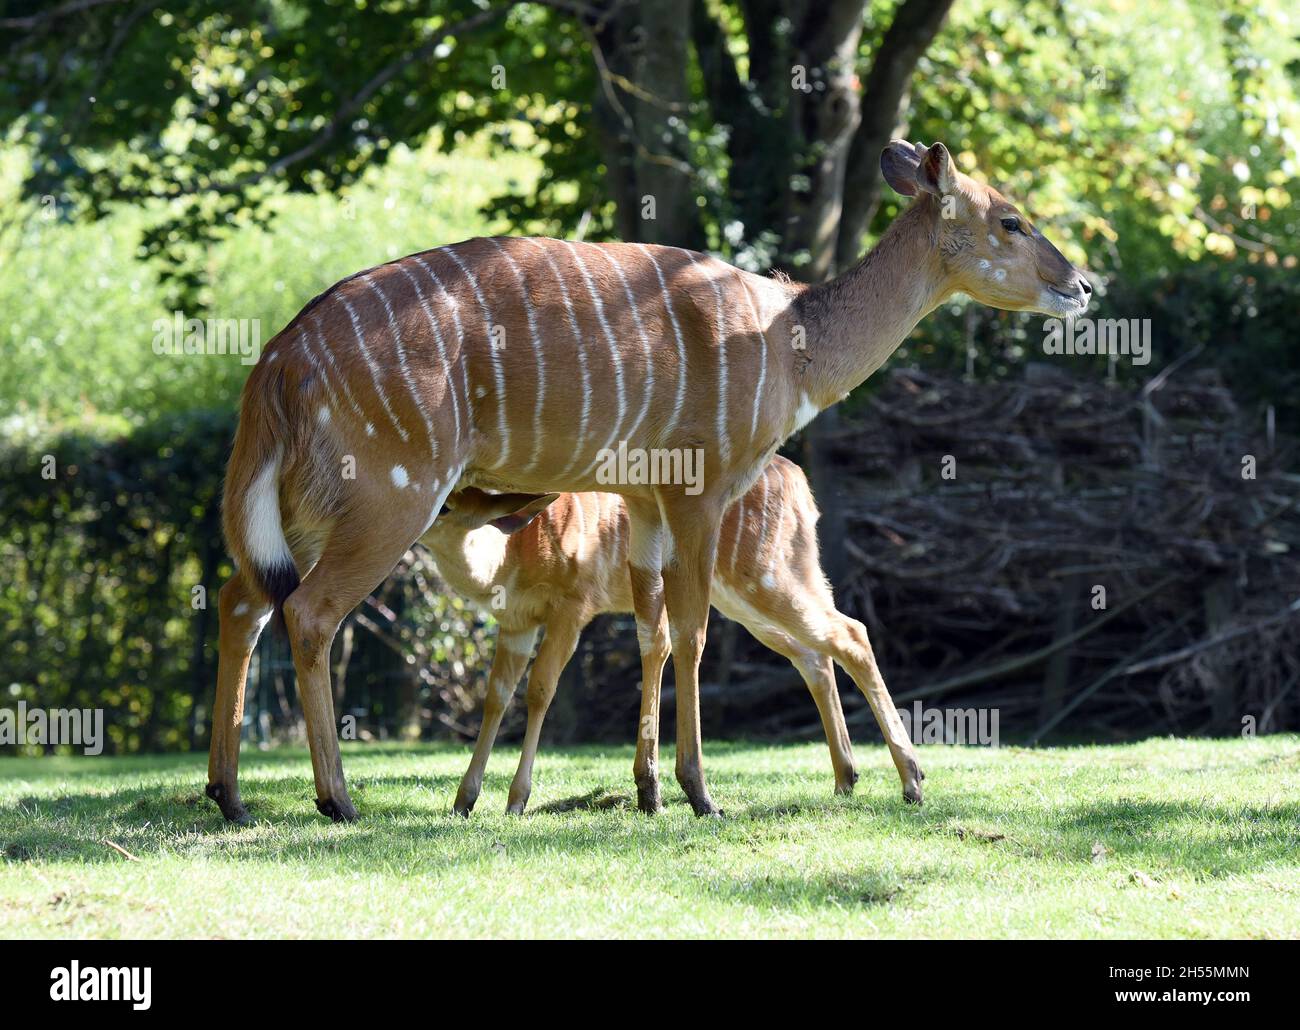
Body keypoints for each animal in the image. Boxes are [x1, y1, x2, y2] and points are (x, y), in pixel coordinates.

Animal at [431, 455, 868, 816]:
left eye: (448, 506)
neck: (512, 555)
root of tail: (801, 487)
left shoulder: (573, 607)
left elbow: (540, 689)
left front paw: (516, 801)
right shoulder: (517, 624)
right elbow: (496, 696)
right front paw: (463, 801)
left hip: (766, 574)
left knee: (850, 632)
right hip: (742, 597)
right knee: (813, 654)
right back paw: (846, 778)